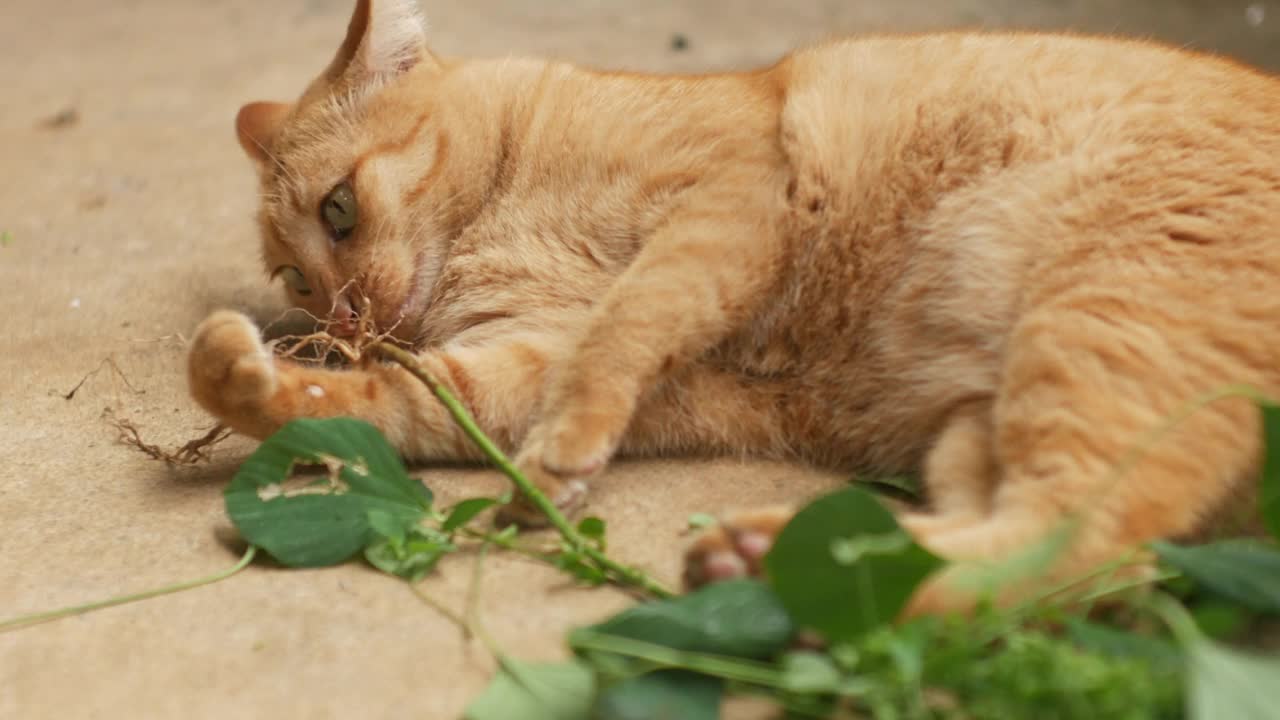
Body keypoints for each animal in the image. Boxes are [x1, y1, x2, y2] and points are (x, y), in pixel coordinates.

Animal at [189, 0, 1280, 609]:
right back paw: (770, 563)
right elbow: (389, 404)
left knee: (1088, 547)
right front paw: (242, 380)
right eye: (293, 281)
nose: (342, 323)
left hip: (1099, 323)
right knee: (1060, 562)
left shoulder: (726, 203)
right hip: (977, 433)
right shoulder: (516, 357)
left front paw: (558, 458)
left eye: (336, 211)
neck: (501, 204)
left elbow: (622, 331)